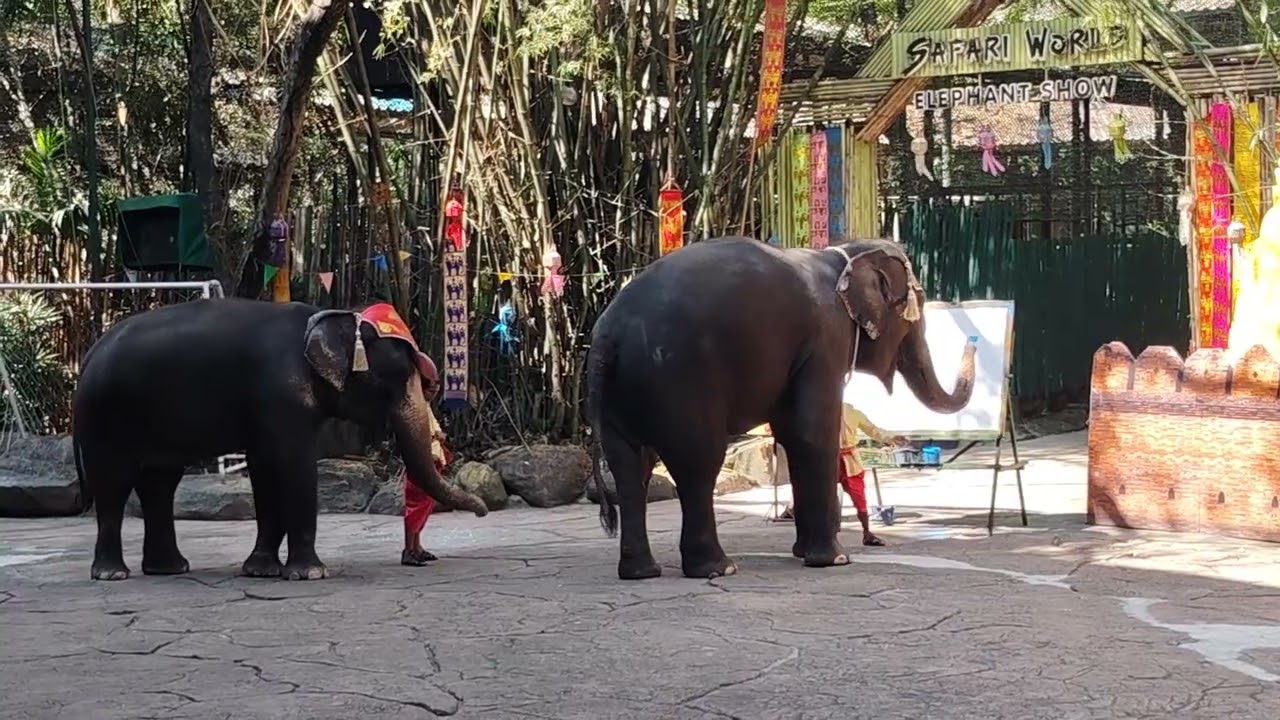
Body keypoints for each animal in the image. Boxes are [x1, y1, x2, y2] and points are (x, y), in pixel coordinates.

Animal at [72, 298, 488, 582]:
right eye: (399, 376)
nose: (482, 511)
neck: (327, 317)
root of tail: (88, 355)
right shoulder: (282, 394)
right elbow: (293, 464)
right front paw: (309, 574)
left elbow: (265, 470)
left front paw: (261, 571)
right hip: (104, 416)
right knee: (114, 483)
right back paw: (112, 574)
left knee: (160, 483)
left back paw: (169, 569)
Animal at [585, 236, 976, 580]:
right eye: (919, 305)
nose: (971, 341)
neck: (840, 253)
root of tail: (609, 334)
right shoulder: (826, 338)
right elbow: (811, 433)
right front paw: (834, 560)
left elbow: (792, 432)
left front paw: (804, 553)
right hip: (679, 379)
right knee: (698, 464)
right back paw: (718, 569)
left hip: (623, 394)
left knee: (629, 469)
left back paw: (641, 572)